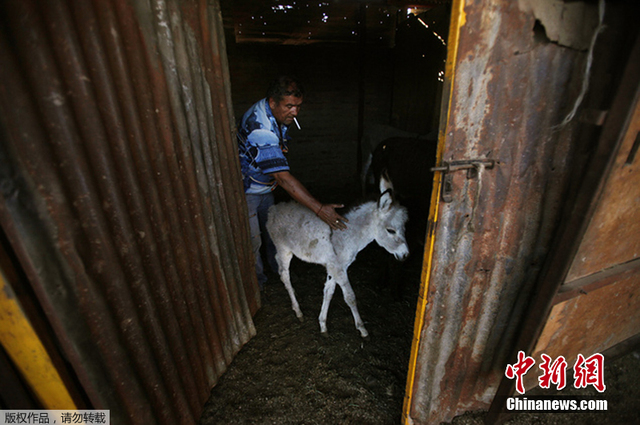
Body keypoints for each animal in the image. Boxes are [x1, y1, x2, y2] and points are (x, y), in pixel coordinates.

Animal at [266, 174, 410, 336]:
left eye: (404, 228)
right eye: (391, 230)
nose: (405, 255)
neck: (348, 233)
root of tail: (274, 208)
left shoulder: (335, 267)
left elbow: (328, 292)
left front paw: (323, 325)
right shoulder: (338, 268)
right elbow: (350, 297)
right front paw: (362, 329)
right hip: (284, 249)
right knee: (284, 275)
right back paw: (298, 311)